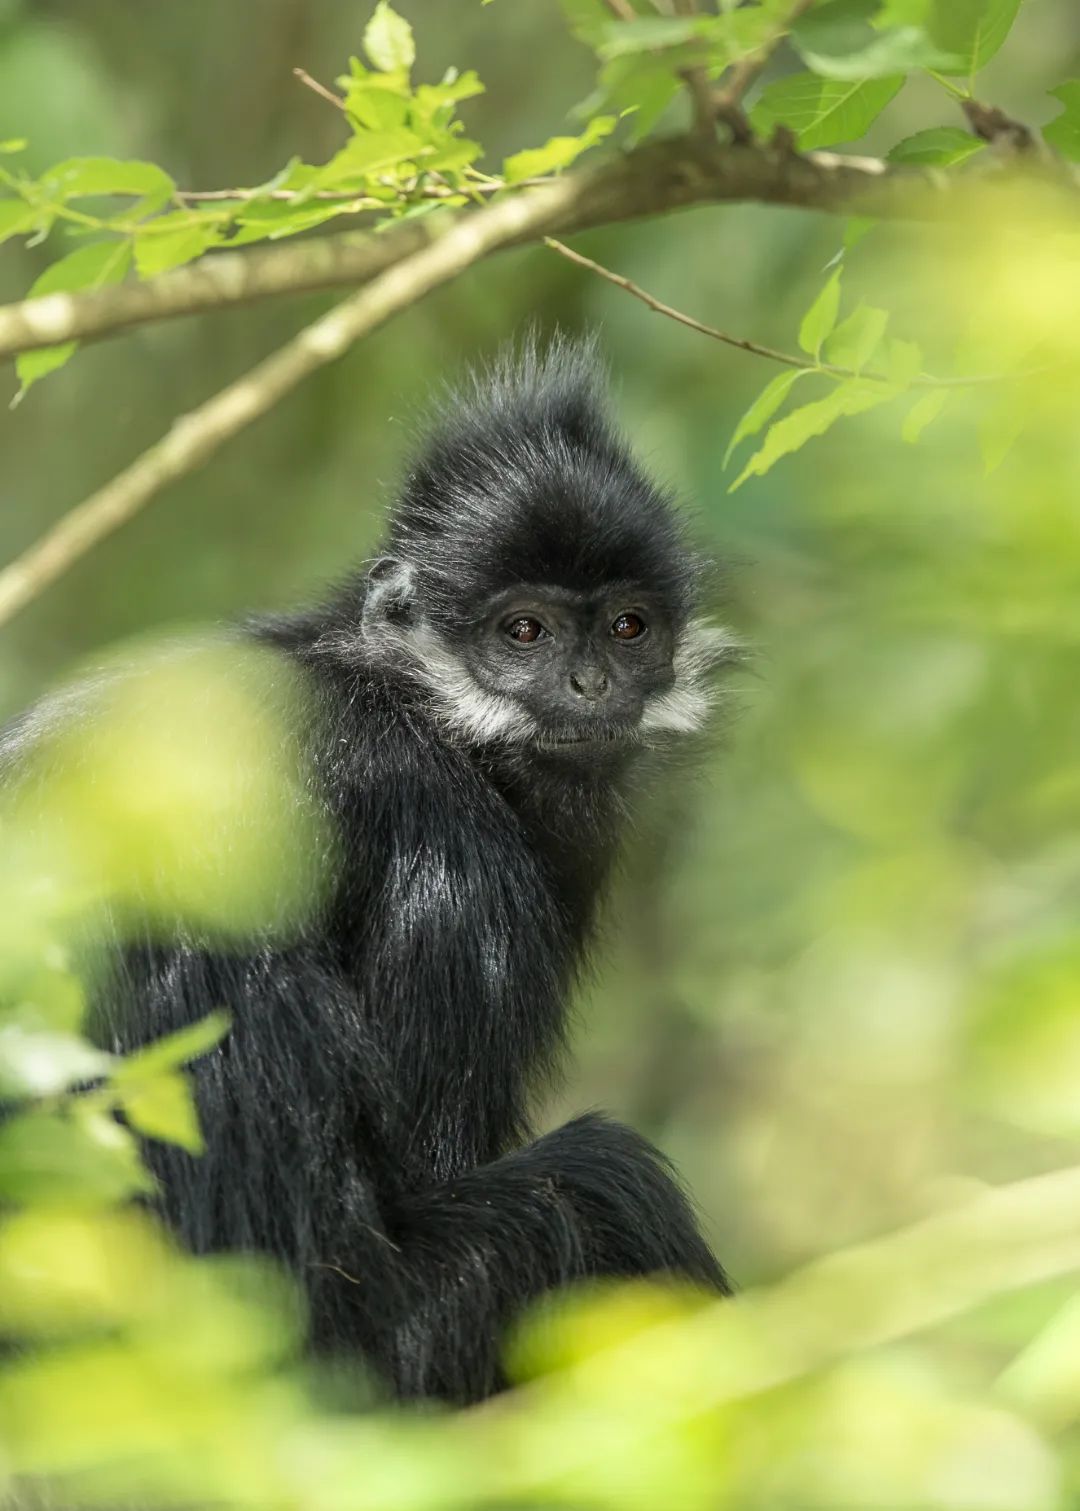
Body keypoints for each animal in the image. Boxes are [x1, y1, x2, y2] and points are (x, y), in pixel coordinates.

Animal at [8, 342, 731, 1402]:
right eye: (524, 633)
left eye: (628, 629)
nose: (590, 684)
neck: (406, 696)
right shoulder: (451, 859)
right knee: (608, 1185)